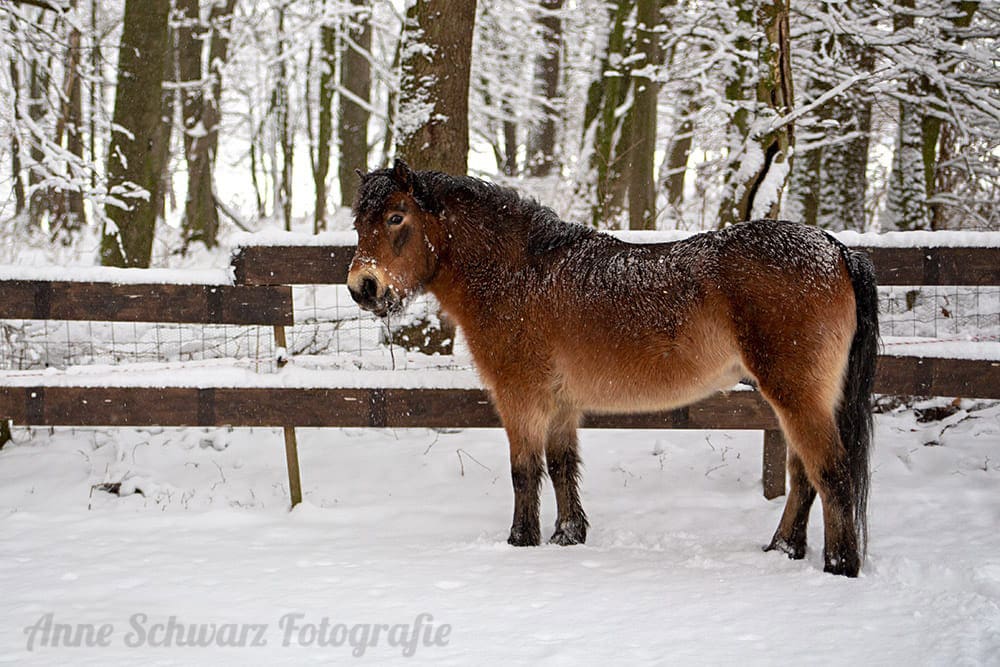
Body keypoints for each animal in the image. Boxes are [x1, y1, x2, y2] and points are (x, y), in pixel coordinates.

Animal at [347, 159, 879, 577]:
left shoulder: (519, 396)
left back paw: (839, 565)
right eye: (358, 225)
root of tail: (837, 249)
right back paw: (783, 548)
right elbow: (562, 465)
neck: (518, 273)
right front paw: (568, 536)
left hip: (796, 394)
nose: (363, 287)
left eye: (395, 217)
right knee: (804, 474)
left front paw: (521, 541)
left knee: (830, 471)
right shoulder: (561, 403)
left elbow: (525, 470)